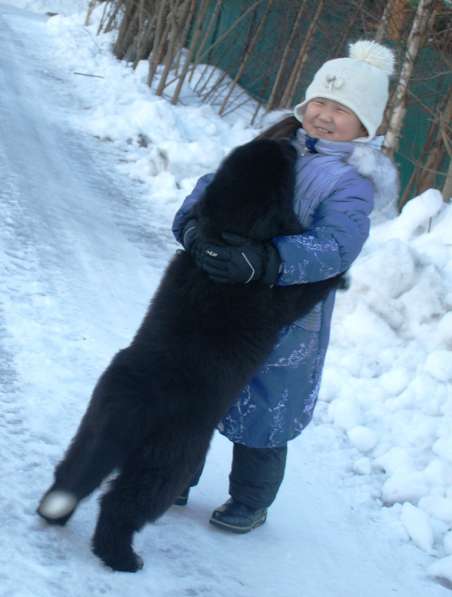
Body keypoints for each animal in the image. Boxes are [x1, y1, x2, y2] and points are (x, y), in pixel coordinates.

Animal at [36, 137, 340, 572]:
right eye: (283, 169)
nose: (286, 140)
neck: (225, 235)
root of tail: (134, 405)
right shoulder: (280, 298)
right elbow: (305, 283)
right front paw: (342, 276)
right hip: (170, 458)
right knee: (121, 505)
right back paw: (123, 557)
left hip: (95, 426)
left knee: (73, 474)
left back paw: (55, 515)